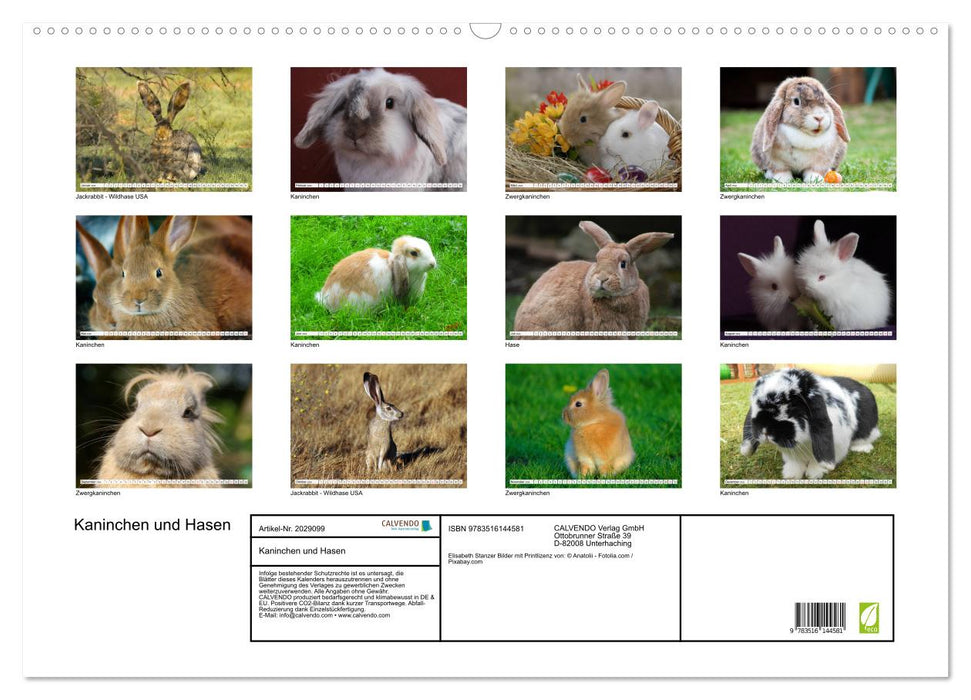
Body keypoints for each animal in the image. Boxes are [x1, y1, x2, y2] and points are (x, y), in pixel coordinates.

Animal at [740, 368, 880, 479]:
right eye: (755, 404)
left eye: (792, 407)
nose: (765, 431)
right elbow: (795, 462)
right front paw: (791, 475)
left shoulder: (837, 445)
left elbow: (817, 462)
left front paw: (814, 474)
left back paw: (862, 448)